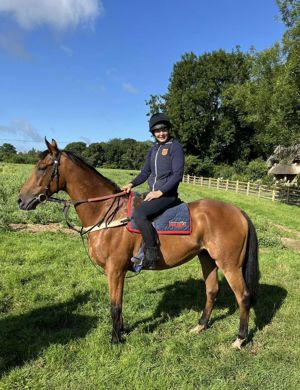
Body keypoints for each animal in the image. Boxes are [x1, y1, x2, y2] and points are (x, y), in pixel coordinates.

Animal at [17, 139, 258, 348]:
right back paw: (200, 326)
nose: (21, 200)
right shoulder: (118, 272)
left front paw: (115, 340)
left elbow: (114, 306)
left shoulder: (115, 270)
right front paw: (121, 332)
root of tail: (239, 212)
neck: (106, 213)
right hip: (207, 258)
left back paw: (239, 339)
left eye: (42, 168)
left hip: (229, 265)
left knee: (243, 296)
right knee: (212, 291)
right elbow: (119, 305)